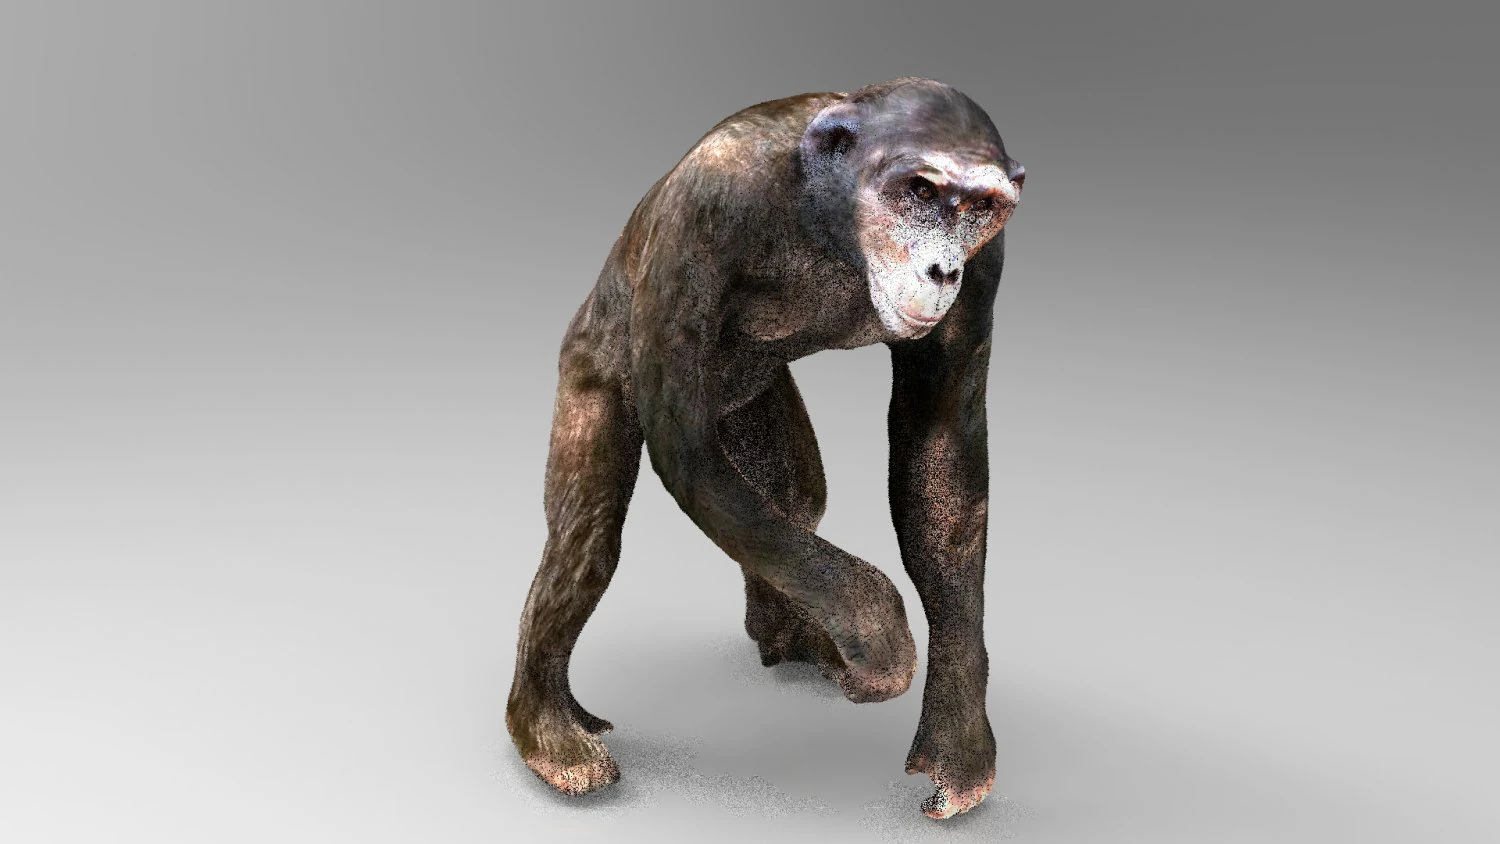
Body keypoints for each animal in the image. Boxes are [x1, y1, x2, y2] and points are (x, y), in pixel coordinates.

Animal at [506, 77, 1024, 821]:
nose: (942, 268)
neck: (829, 219)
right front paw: (876, 630)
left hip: (755, 401)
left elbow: (942, 464)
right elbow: (687, 447)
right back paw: (548, 728)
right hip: (592, 361)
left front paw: (959, 746)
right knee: (587, 538)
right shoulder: (703, 207)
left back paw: (788, 632)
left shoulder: (987, 266)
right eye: (920, 191)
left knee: (792, 497)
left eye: (978, 207)